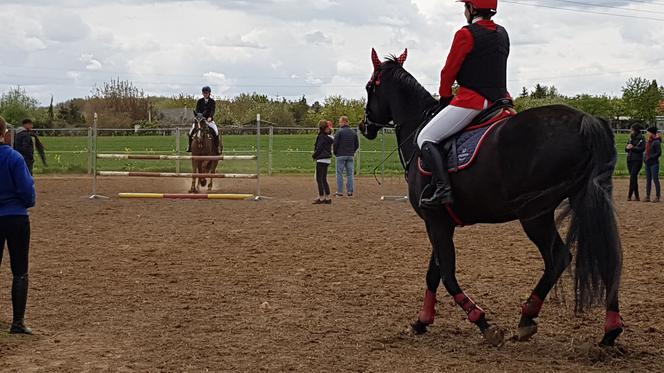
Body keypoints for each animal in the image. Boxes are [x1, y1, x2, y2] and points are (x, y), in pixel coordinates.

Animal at [358, 49, 624, 346]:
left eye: (369, 87)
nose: (364, 126)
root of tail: (585, 120)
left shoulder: (435, 222)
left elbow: (447, 274)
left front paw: (482, 321)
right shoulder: (440, 222)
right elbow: (433, 273)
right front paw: (421, 321)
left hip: (535, 215)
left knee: (558, 258)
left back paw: (527, 318)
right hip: (582, 202)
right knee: (606, 256)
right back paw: (610, 330)